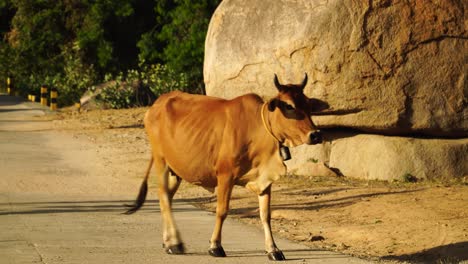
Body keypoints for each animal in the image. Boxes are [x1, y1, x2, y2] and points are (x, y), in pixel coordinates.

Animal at [126, 73, 324, 260]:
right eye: (289, 106)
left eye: (308, 104)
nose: (315, 135)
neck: (258, 129)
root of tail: (156, 104)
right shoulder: (225, 175)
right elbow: (222, 211)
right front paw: (215, 246)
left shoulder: (265, 179)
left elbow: (265, 215)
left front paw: (273, 249)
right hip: (161, 161)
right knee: (163, 197)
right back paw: (175, 243)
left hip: (176, 171)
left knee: (166, 197)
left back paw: (169, 242)